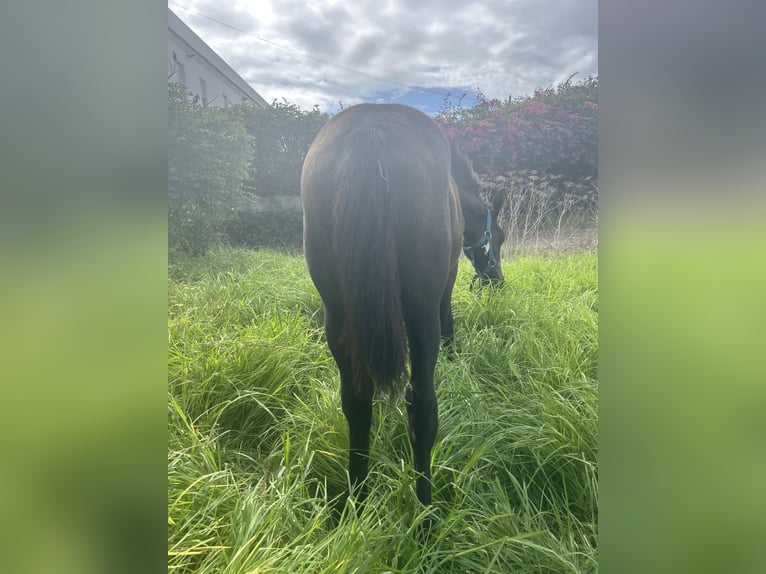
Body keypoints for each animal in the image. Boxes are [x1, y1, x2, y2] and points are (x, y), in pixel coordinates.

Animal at [304, 103, 508, 512]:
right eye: (501, 236)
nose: (498, 281)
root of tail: (370, 134)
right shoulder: (447, 277)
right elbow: (449, 320)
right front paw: (453, 354)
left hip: (337, 315)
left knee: (357, 401)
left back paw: (357, 498)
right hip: (419, 311)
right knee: (423, 406)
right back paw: (425, 512)